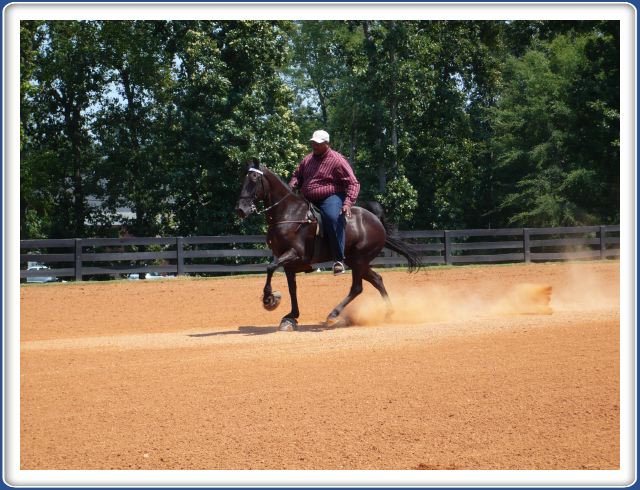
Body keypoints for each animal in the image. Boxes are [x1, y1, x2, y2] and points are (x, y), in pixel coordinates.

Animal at [235, 163, 421, 331]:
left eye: (254, 179)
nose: (241, 209)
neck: (288, 214)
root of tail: (376, 220)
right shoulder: (288, 262)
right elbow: (292, 288)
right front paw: (291, 317)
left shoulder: (294, 254)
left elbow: (270, 267)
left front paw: (269, 299)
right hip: (356, 261)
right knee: (377, 280)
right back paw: (389, 312)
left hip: (359, 260)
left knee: (357, 287)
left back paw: (334, 314)